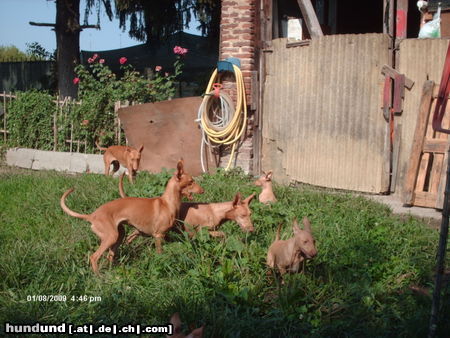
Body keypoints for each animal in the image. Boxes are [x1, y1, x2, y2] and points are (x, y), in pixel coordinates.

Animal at [59, 160, 203, 274]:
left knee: (110, 255)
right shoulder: (158, 236)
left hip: (119, 235)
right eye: (191, 182)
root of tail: (92, 215)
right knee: (94, 257)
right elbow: (160, 254)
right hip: (111, 237)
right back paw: (99, 277)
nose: (203, 191)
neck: (167, 203)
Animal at [118, 172, 255, 240]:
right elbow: (222, 234)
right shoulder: (198, 231)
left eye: (250, 214)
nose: (252, 230)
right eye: (242, 215)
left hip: (140, 229)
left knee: (130, 237)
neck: (215, 211)